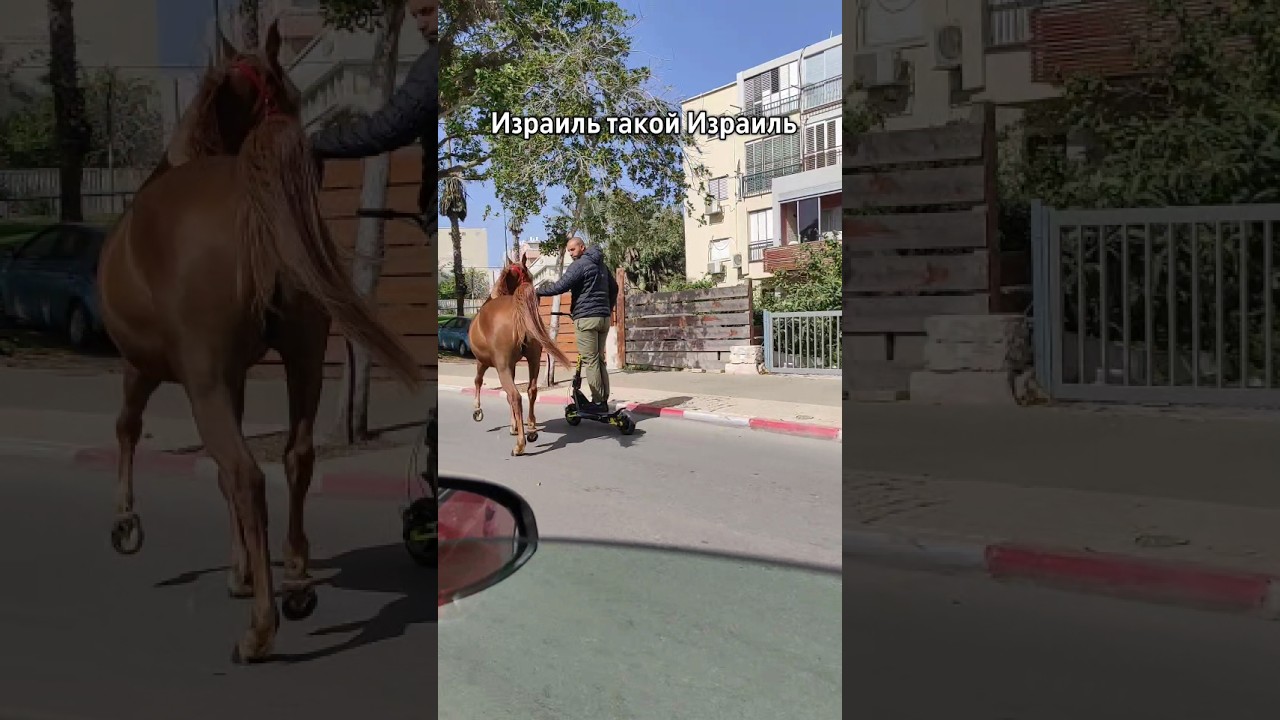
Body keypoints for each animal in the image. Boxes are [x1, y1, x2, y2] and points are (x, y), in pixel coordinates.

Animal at [96, 23, 422, 664]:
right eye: (292, 94)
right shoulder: (238, 376)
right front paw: (242, 569)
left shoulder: (148, 367)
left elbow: (128, 431)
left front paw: (126, 523)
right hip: (303, 360)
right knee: (295, 458)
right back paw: (294, 585)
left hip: (201, 379)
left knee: (247, 475)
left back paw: (260, 630)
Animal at [467, 253, 571, 456]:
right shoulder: (513, 365)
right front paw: (515, 425)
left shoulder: (484, 362)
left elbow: (478, 382)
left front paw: (477, 411)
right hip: (534, 360)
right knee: (531, 390)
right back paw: (531, 431)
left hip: (501, 367)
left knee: (515, 396)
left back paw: (520, 445)